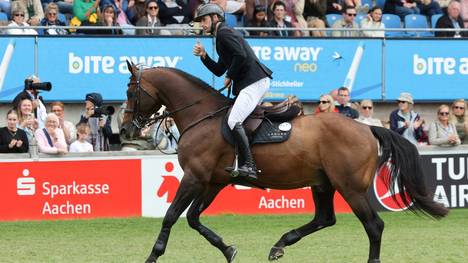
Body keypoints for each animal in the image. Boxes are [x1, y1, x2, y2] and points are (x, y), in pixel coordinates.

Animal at [121, 63, 450, 263]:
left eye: (130, 91)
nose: (125, 130)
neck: (202, 117)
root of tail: (367, 128)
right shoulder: (212, 181)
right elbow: (192, 218)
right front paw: (228, 249)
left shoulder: (194, 177)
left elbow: (171, 216)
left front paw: (153, 255)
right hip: (322, 183)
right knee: (325, 219)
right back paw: (280, 244)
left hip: (350, 188)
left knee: (374, 225)